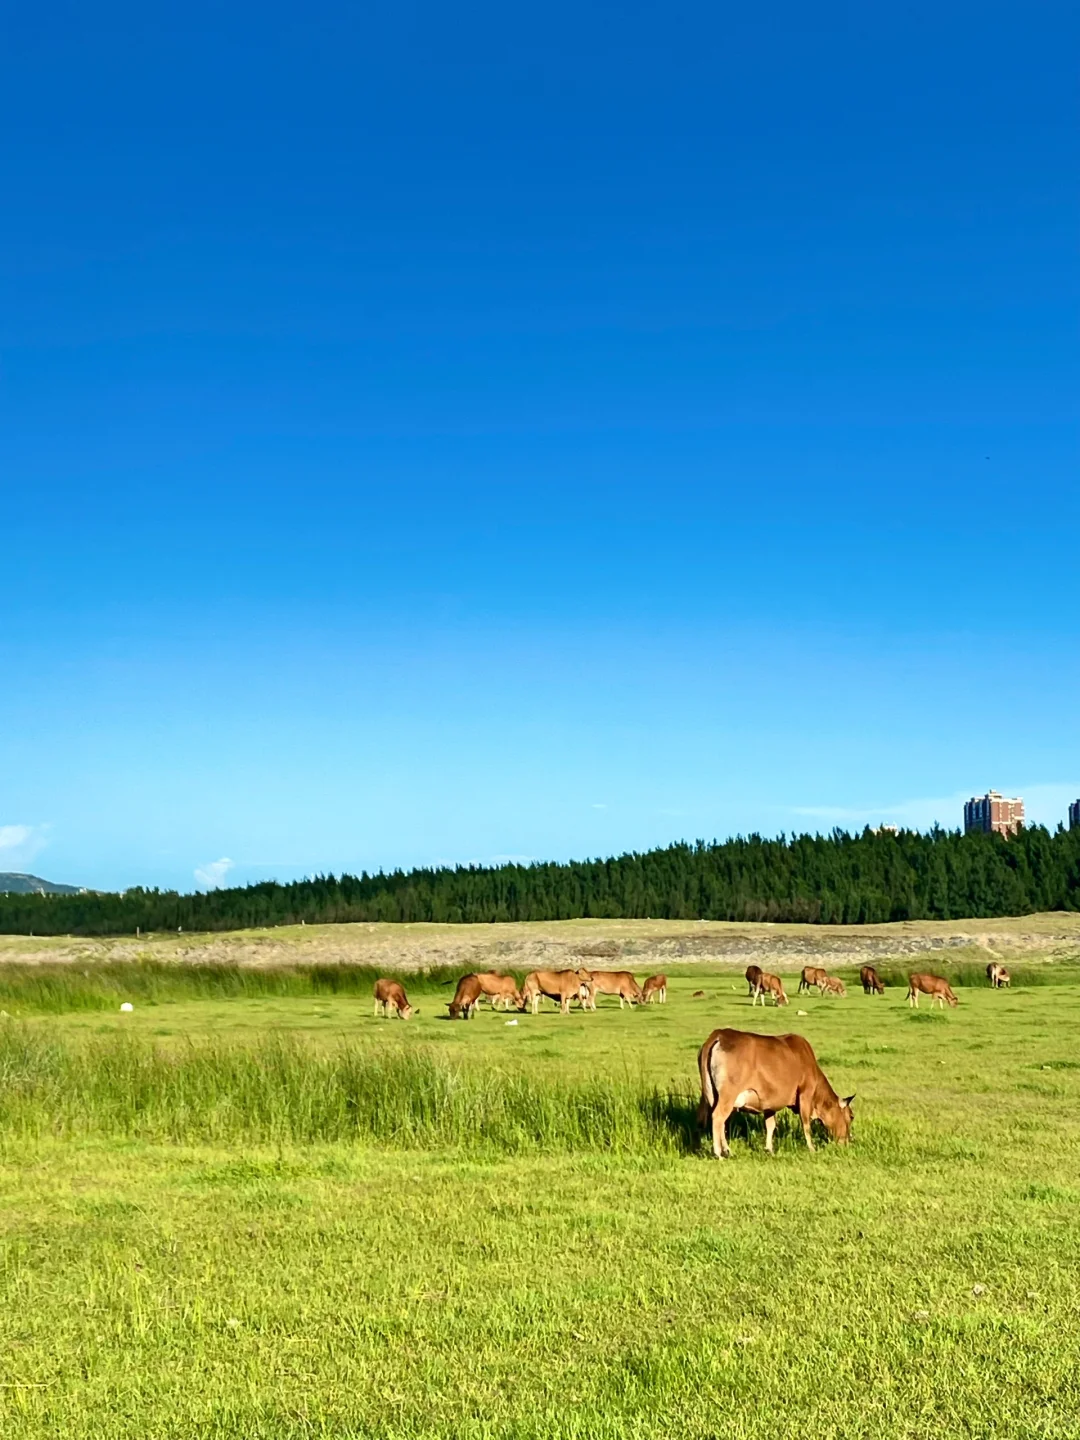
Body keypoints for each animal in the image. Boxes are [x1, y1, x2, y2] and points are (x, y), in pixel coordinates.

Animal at [696, 1025, 858, 1157]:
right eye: (851, 1116)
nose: (847, 1141)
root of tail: (720, 1034)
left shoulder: (769, 1103)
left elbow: (770, 1125)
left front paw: (769, 1149)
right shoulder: (805, 1093)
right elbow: (806, 1124)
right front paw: (812, 1148)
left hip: (714, 1095)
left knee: (722, 1121)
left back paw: (727, 1150)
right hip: (728, 1095)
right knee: (718, 1117)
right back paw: (718, 1153)